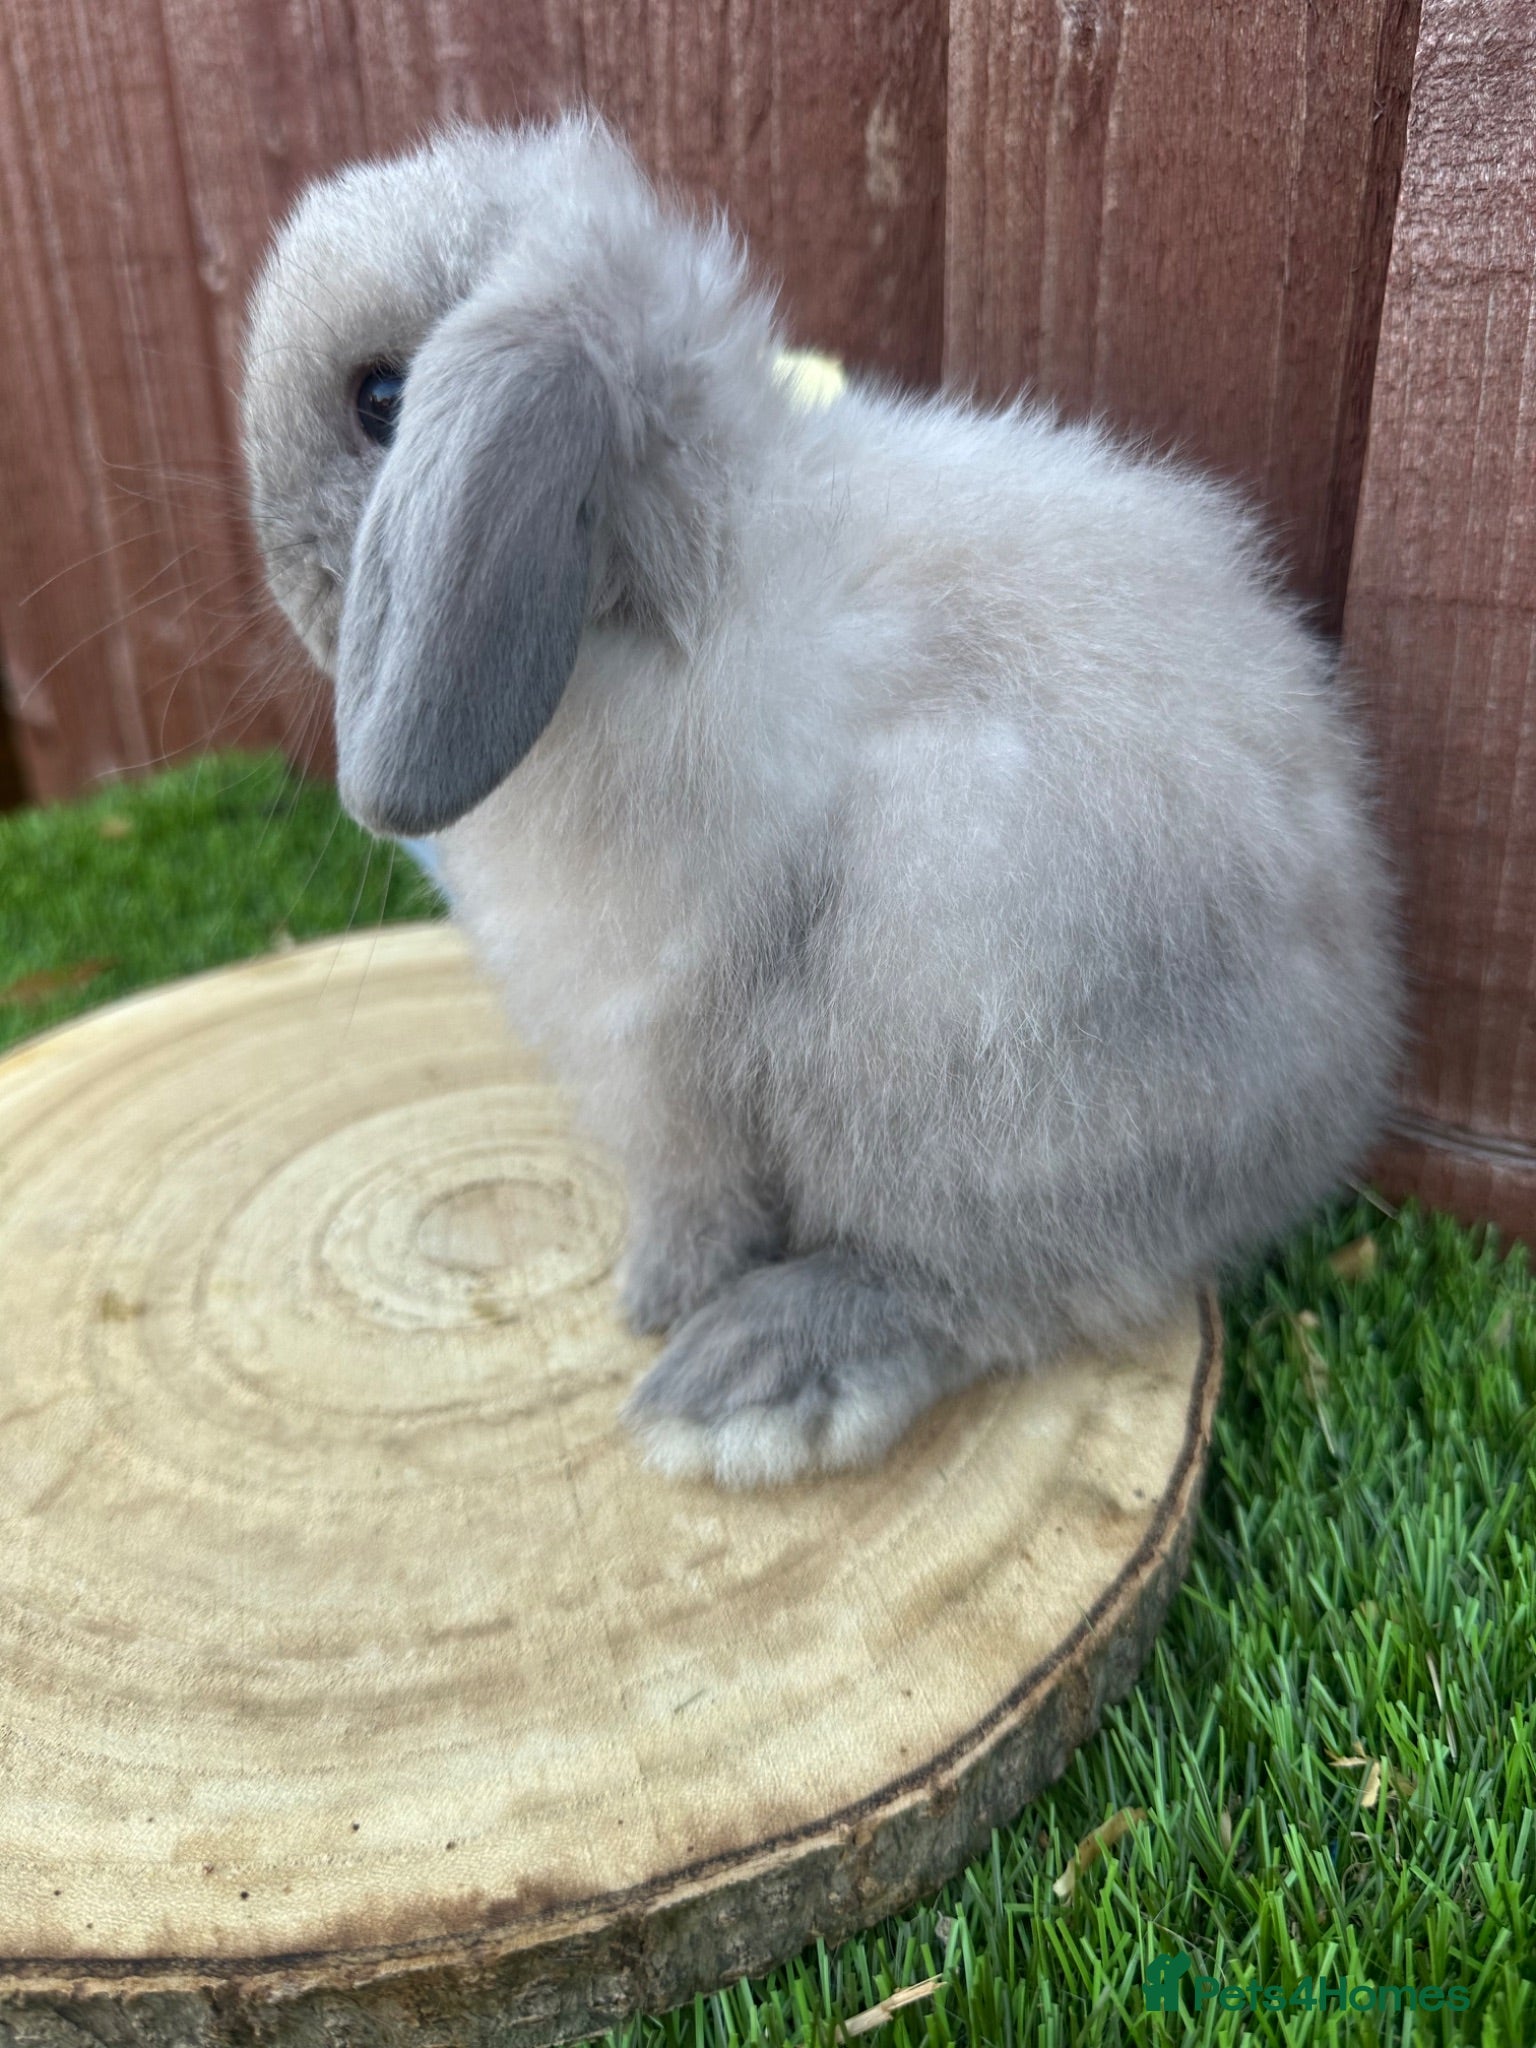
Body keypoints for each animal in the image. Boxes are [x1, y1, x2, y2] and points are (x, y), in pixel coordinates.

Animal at [240, 112, 1405, 1489]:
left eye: (381, 400)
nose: (288, 579)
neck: (666, 584)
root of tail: (1325, 1111)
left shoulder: (656, 1049)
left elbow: (695, 1198)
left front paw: (652, 1298)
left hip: (962, 1032)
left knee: (995, 1284)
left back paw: (751, 1376)